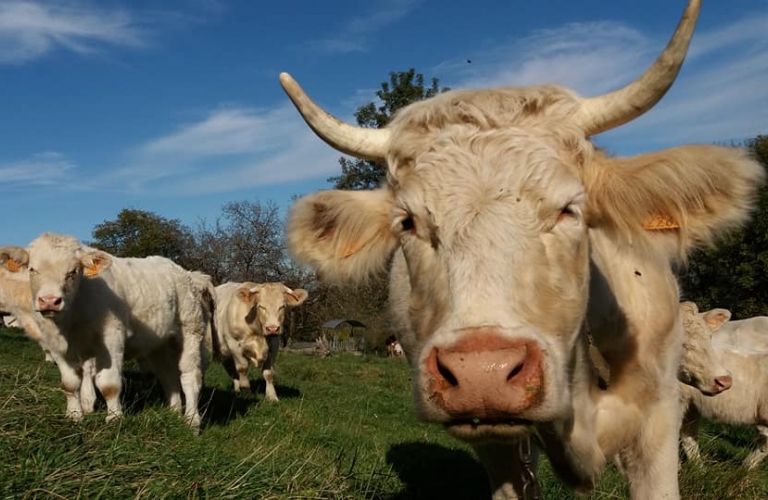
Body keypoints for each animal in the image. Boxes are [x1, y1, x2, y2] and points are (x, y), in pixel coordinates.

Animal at [0, 232, 213, 432]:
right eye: (32, 269)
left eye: (73, 272)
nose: (50, 301)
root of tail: (185, 272)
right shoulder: (57, 346)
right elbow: (69, 383)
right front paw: (74, 415)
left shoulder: (111, 338)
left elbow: (109, 384)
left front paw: (114, 418)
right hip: (157, 344)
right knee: (168, 375)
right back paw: (174, 412)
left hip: (190, 329)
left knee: (190, 375)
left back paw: (192, 420)